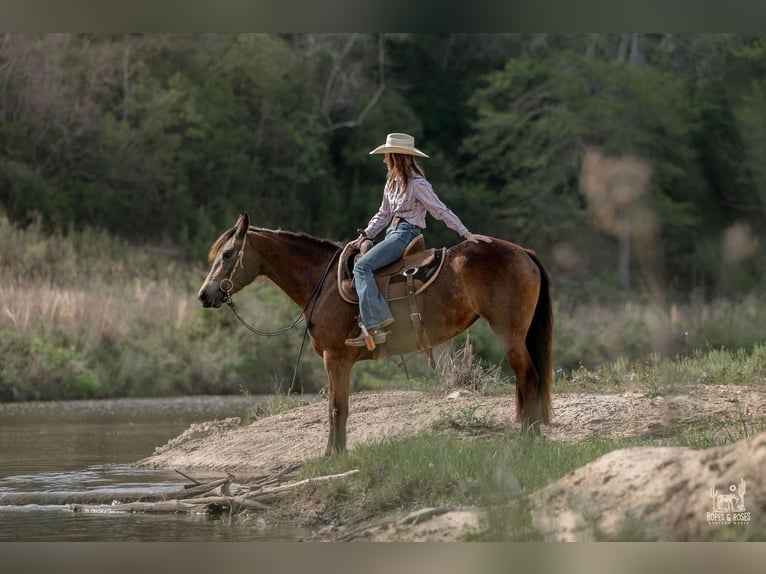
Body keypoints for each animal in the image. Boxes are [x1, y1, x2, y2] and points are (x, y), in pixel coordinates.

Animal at [198, 212, 553, 455]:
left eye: (227, 254)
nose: (204, 295)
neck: (322, 283)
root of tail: (523, 252)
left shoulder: (336, 359)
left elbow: (337, 408)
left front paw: (333, 456)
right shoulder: (336, 362)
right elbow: (337, 408)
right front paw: (334, 453)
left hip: (509, 334)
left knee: (528, 377)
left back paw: (528, 436)